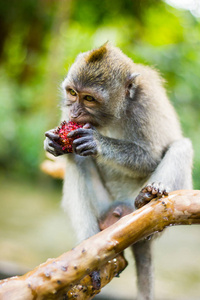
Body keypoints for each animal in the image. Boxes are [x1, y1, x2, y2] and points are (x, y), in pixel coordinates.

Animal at [43, 42, 192, 300]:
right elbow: (69, 152)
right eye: (72, 93)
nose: (74, 114)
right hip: (104, 206)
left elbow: (150, 157)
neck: (112, 116)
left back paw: (147, 198)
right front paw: (52, 143)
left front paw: (98, 143)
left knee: (181, 146)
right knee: (77, 159)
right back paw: (88, 247)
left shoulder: (146, 103)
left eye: (89, 98)